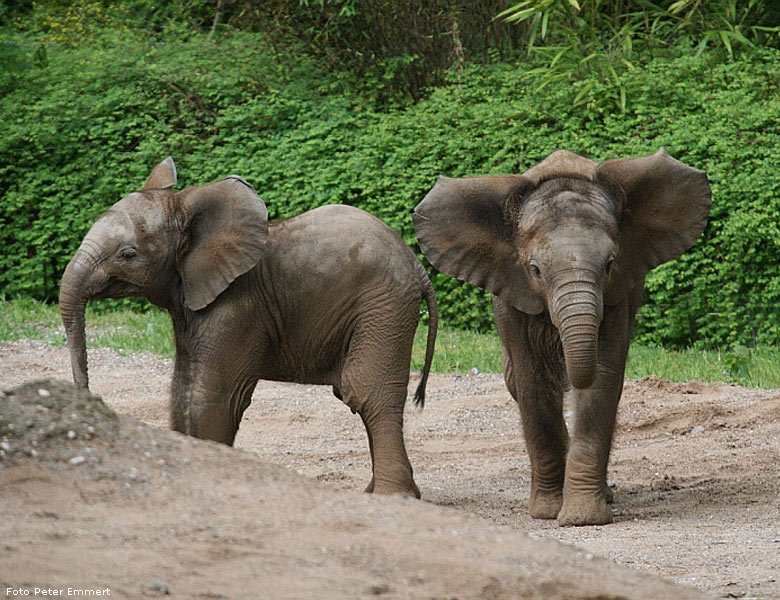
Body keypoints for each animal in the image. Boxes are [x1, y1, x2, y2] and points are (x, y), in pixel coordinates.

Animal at [59, 158, 438, 496]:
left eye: (127, 254)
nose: (86, 393)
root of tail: (417, 267)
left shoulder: (239, 307)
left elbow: (214, 396)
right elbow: (182, 389)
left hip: (383, 306)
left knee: (369, 393)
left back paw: (391, 496)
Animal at [414, 150, 712, 524]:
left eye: (610, 264)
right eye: (535, 270)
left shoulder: (617, 298)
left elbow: (602, 385)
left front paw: (583, 516)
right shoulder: (514, 298)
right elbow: (533, 385)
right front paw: (547, 511)